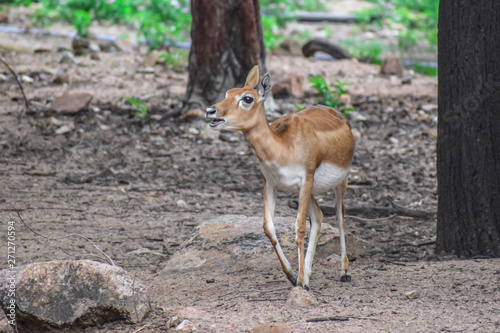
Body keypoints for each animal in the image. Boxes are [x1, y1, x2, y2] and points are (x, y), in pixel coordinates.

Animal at [206, 65, 356, 288]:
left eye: (247, 98)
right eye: (228, 92)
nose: (210, 110)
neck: (284, 147)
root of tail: (338, 114)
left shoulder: (306, 178)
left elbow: (299, 227)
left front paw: (300, 281)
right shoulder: (271, 183)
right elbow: (268, 228)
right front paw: (294, 276)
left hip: (340, 181)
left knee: (339, 214)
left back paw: (344, 271)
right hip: (307, 190)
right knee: (319, 216)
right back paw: (308, 273)